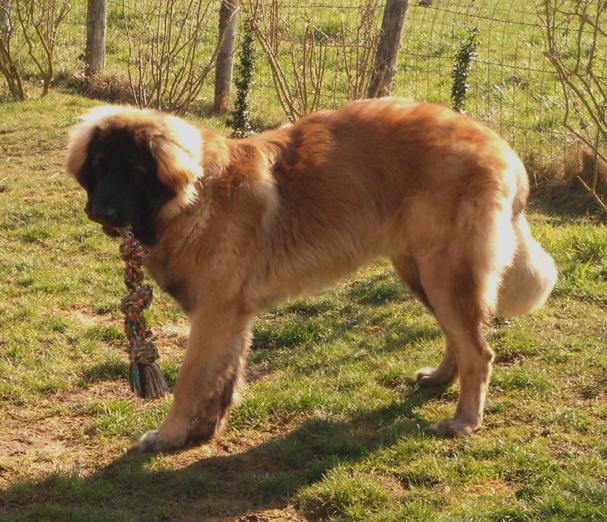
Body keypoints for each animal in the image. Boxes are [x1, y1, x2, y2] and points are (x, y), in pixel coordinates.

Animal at [66, 98, 557, 452]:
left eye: (135, 171)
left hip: (444, 273)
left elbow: (191, 380)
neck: (196, 197)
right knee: (460, 338)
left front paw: (169, 435)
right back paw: (439, 380)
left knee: (480, 351)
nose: (100, 212)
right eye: (100, 168)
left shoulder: (215, 314)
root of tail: (499, 145)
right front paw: (204, 431)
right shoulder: (232, 318)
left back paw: (464, 421)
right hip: (420, 271)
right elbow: (223, 378)